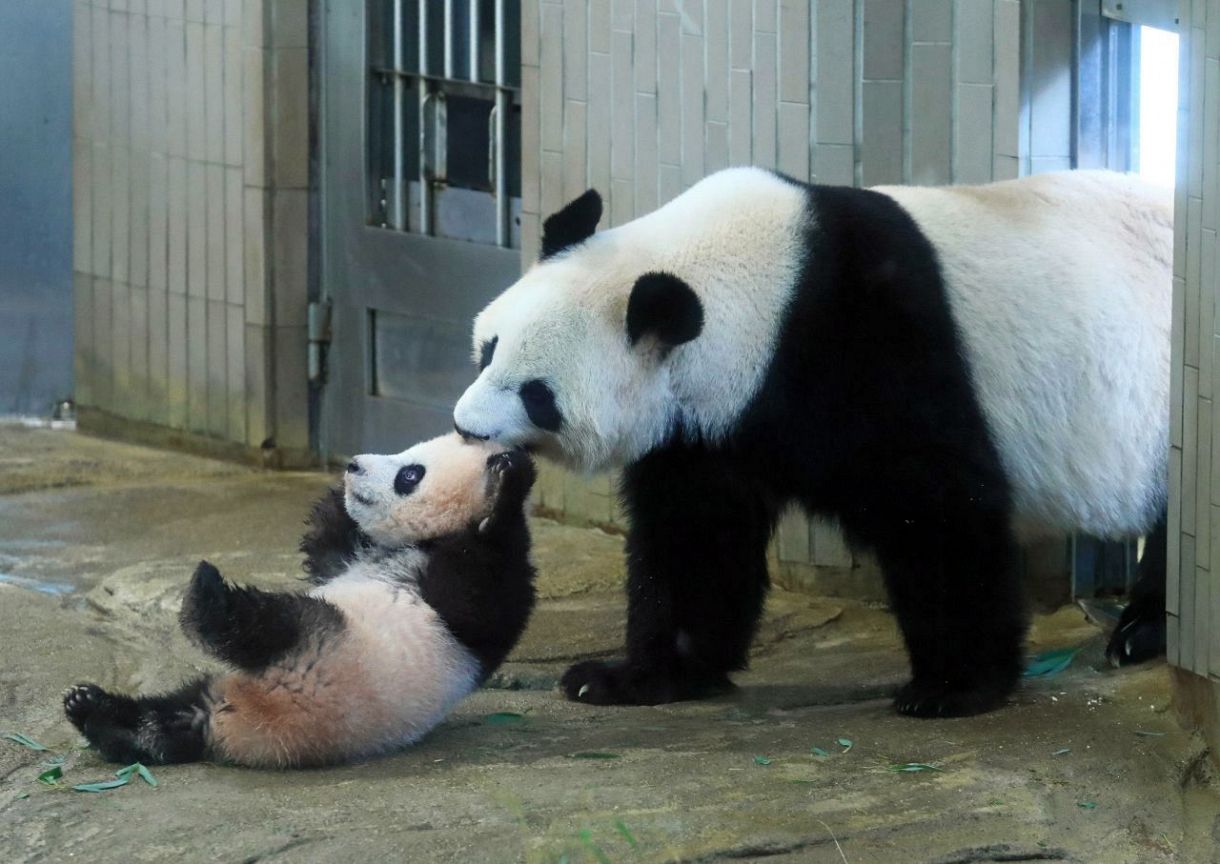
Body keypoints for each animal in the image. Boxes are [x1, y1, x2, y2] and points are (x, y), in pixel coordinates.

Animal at [456, 167, 1171, 717]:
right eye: (488, 349)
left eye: (538, 394)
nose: (466, 426)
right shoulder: (708, 423)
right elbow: (696, 534)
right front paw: (632, 676)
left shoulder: (871, 341)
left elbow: (937, 505)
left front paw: (953, 687)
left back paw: (1142, 633)